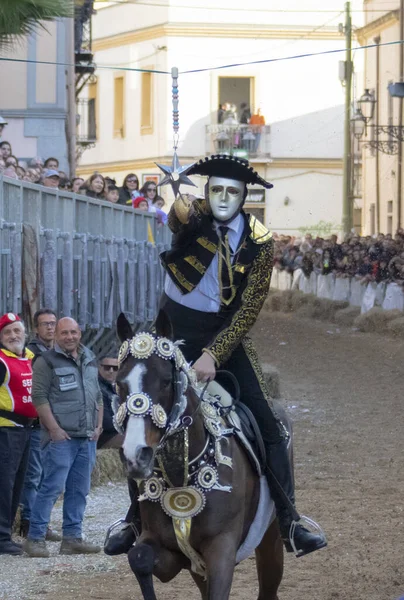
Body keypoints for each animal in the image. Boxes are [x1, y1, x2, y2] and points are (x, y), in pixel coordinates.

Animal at [113, 312, 284, 596]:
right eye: (119, 384)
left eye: (166, 381)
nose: (137, 454)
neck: (181, 474)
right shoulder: (171, 551)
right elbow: (139, 558)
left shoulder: (221, 551)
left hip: (270, 538)